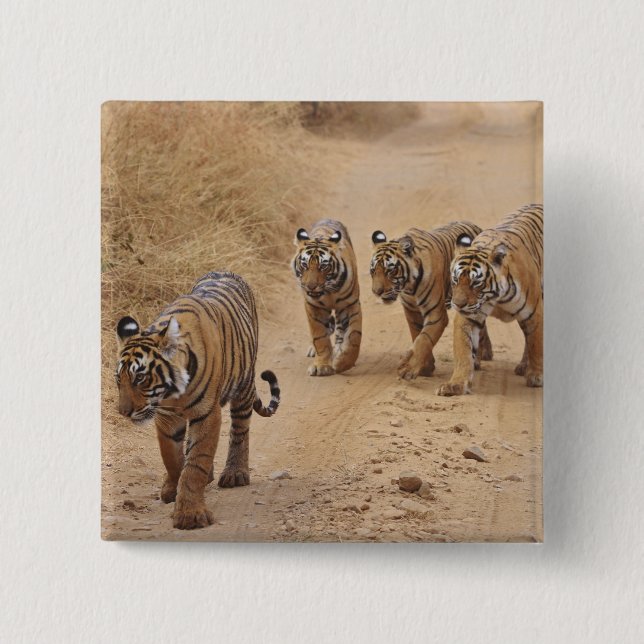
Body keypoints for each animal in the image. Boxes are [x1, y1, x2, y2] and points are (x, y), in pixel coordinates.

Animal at [115, 272, 280, 530]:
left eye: (140, 378)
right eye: (118, 380)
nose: (123, 412)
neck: (172, 392)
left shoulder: (206, 413)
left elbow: (196, 464)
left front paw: (190, 515)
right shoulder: (167, 418)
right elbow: (172, 458)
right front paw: (172, 489)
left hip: (243, 385)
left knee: (240, 430)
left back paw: (235, 473)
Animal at [291, 219, 362, 376]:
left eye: (323, 266)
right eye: (304, 265)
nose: (310, 286)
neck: (329, 291)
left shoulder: (350, 305)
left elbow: (354, 336)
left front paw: (342, 363)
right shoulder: (314, 307)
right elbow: (320, 338)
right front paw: (322, 366)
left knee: (341, 332)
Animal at [370, 221, 493, 380]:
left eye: (390, 271)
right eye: (373, 271)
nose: (376, 292)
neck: (409, 287)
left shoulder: (436, 314)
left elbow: (424, 339)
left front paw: (410, 369)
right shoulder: (411, 311)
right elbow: (417, 335)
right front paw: (426, 368)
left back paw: (477, 361)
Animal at [436, 203, 543, 396]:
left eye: (475, 283)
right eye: (455, 279)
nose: (458, 304)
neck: (497, 298)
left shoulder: (534, 313)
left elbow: (536, 345)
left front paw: (536, 376)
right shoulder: (468, 316)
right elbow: (463, 352)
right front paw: (456, 384)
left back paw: (525, 367)